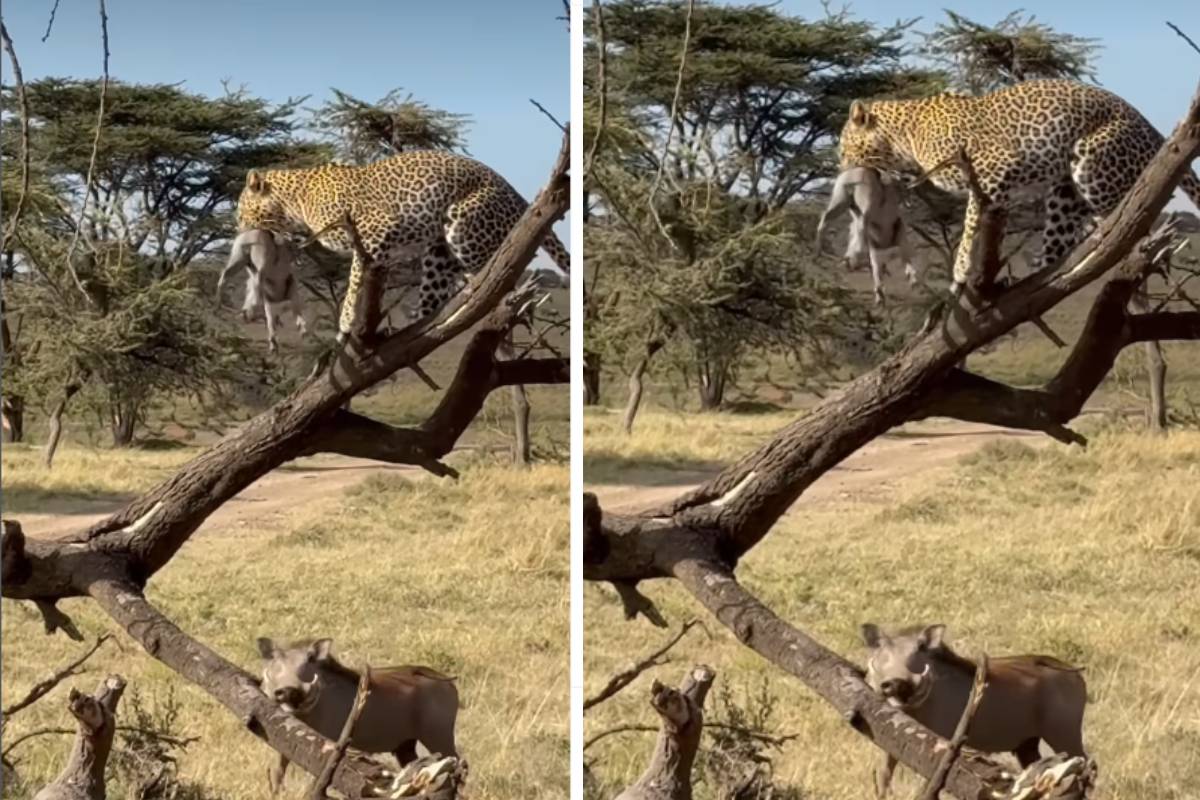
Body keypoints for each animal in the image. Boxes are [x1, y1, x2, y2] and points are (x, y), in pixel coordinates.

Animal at [235, 150, 570, 341]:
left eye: (240, 211)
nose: (237, 228)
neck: (294, 205)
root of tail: (517, 195)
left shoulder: (376, 229)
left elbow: (355, 277)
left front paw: (346, 320)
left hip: (465, 229)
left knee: (506, 272)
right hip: (439, 253)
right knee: (434, 298)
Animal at [837, 79, 1200, 293]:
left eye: (842, 147)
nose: (839, 166)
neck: (903, 141)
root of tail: (1152, 129)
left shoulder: (994, 167)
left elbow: (970, 221)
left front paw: (961, 269)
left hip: (1094, 164)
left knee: (1136, 217)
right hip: (1065, 193)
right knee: (1058, 243)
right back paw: (1034, 273)